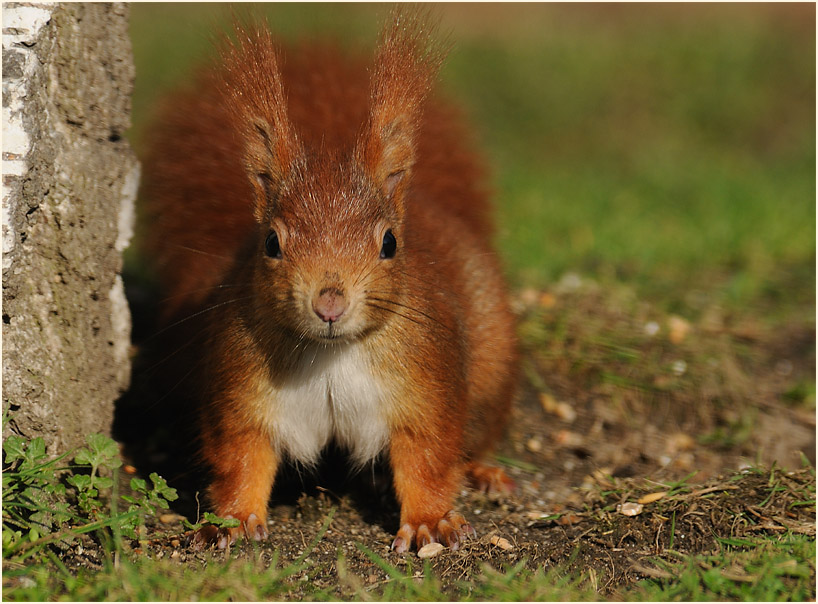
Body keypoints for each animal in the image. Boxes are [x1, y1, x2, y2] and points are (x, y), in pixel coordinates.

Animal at [140, 8, 519, 553]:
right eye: (271, 243)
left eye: (389, 244)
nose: (330, 304)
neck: (330, 355)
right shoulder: (240, 392)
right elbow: (241, 458)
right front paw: (230, 521)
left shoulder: (427, 386)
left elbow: (427, 458)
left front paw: (429, 521)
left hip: (492, 366)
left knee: (480, 432)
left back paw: (485, 471)